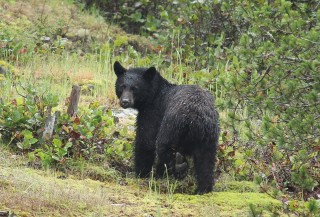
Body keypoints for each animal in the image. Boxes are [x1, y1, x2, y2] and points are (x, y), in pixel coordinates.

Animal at [114, 61, 219, 195]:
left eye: (135, 88)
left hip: (172, 125)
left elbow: (145, 141)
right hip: (209, 136)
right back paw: (203, 189)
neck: (154, 94)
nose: (125, 101)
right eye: (122, 86)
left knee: (164, 148)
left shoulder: (153, 113)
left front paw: (140, 173)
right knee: (206, 161)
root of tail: (197, 117)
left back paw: (172, 170)